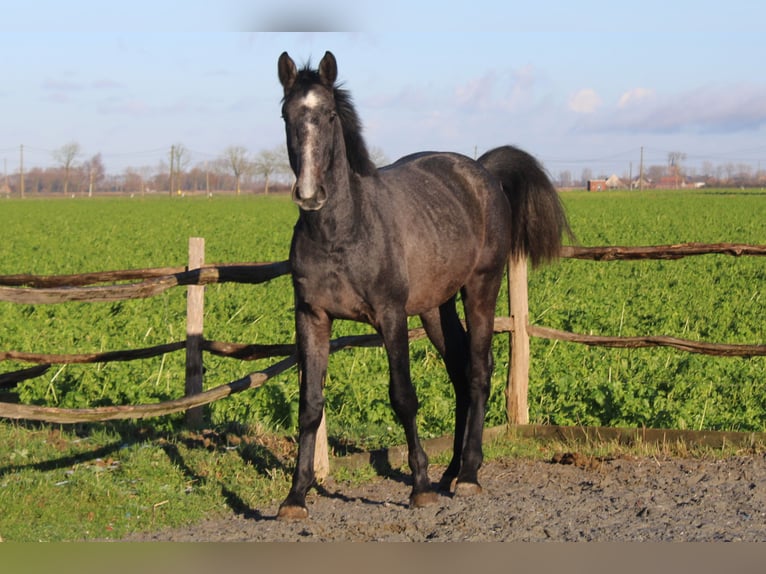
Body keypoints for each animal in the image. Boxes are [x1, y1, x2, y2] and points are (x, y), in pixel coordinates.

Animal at [276, 50, 568, 520]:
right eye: (287, 114)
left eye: (330, 114)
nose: (309, 193)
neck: (342, 233)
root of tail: (481, 171)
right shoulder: (313, 318)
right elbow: (310, 406)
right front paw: (295, 496)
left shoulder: (391, 317)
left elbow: (403, 397)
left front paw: (420, 486)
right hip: (436, 308)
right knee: (459, 371)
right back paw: (451, 471)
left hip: (481, 288)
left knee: (479, 370)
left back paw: (468, 475)